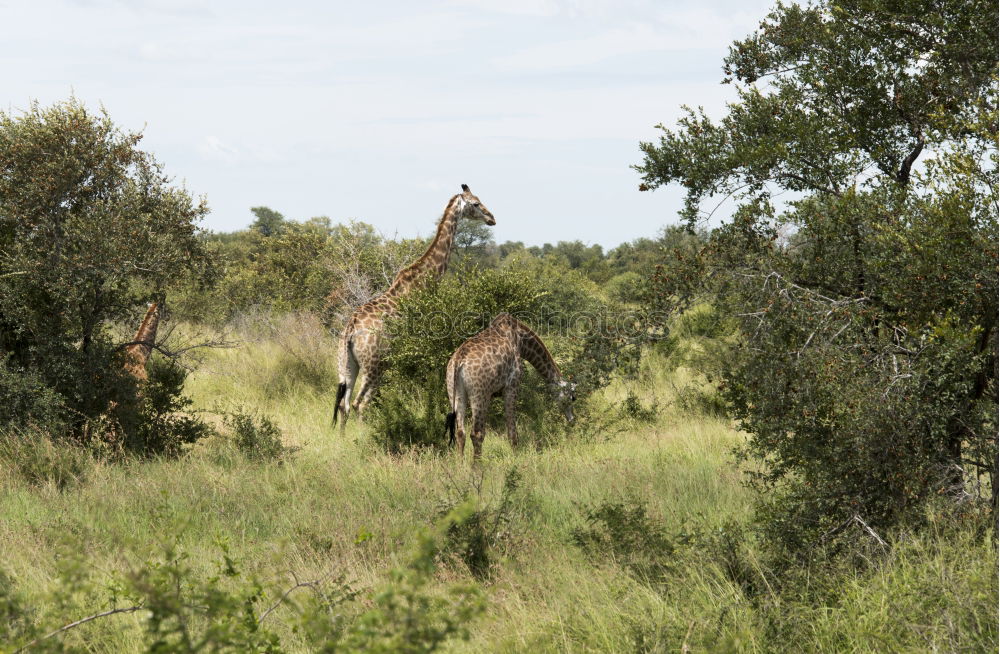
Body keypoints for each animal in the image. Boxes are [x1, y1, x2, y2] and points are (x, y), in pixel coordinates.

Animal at [334, 184, 494, 426]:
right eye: (476, 203)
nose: (492, 218)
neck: (423, 279)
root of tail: (350, 330)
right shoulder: (425, 340)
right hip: (375, 364)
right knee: (359, 403)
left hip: (347, 364)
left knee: (345, 404)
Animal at [444, 314, 576, 462]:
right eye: (572, 398)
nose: (572, 420)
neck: (522, 342)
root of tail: (458, 362)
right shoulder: (511, 387)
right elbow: (512, 433)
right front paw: (515, 459)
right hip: (480, 395)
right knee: (477, 433)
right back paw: (477, 466)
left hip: (455, 392)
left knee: (460, 432)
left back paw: (460, 464)